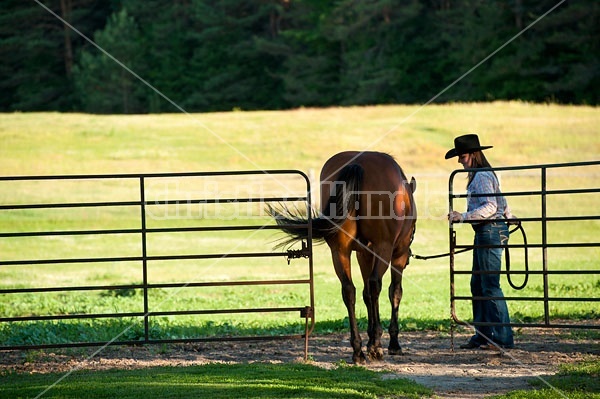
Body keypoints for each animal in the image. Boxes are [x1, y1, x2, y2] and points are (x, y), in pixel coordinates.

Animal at [270, 152, 414, 364]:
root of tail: (358, 163)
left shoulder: (364, 254)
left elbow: (366, 295)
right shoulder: (398, 255)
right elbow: (394, 292)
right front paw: (391, 343)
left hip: (339, 251)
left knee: (349, 290)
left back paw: (358, 349)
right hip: (384, 248)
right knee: (375, 285)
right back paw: (375, 346)